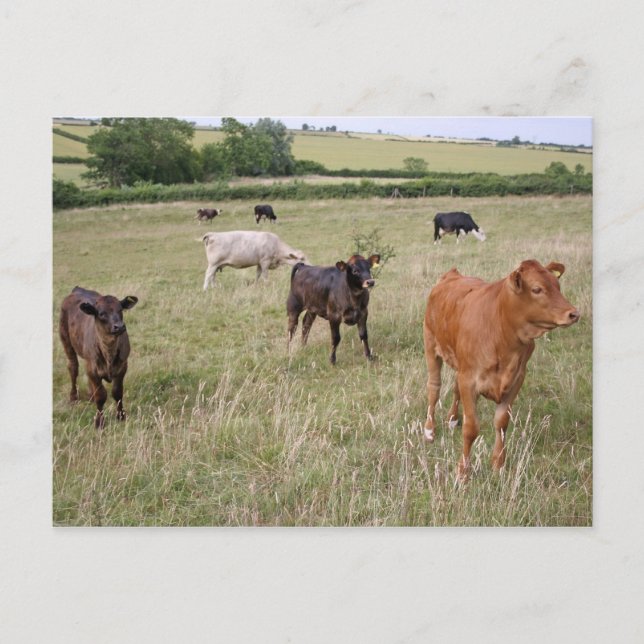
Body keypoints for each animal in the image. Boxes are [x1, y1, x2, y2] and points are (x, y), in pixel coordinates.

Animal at [59, 286, 139, 429]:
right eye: (101, 314)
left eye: (120, 309)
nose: (119, 326)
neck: (109, 353)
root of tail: (77, 289)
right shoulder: (93, 369)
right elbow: (101, 395)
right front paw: (99, 422)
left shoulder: (122, 366)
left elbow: (117, 392)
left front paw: (121, 416)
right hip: (65, 340)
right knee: (73, 368)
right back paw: (73, 397)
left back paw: (90, 395)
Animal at [422, 259, 579, 480]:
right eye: (537, 289)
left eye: (558, 285)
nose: (573, 313)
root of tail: (452, 275)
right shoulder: (469, 380)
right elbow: (471, 428)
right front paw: (463, 472)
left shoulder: (516, 379)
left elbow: (502, 422)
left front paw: (498, 464)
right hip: (430, 345)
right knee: (434, 388)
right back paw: (429, 431)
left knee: (454, 388)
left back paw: (452, 419)